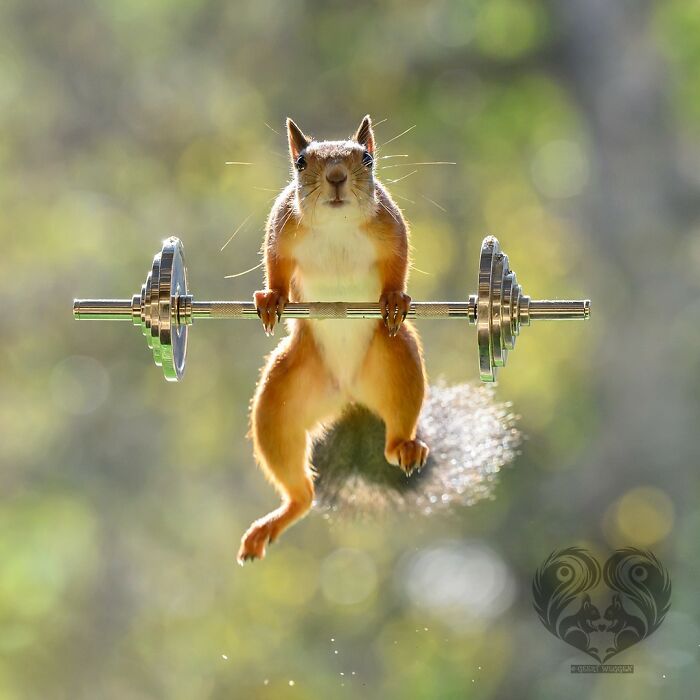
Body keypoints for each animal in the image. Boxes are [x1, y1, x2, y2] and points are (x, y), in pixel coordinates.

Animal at [237, 115, 429, 564]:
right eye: (302, 162)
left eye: (368, 159)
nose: (337, 176)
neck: (336, 227)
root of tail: (347, 393)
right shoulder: (282, 227)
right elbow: (275, 263)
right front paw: (273, 298)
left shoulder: (389, 224)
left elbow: (399, 259)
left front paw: (394, 298)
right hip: (280, 402)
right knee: (300, 490)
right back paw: (275, 520)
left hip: (399, 361)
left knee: (395, 431)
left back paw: (405, 447)